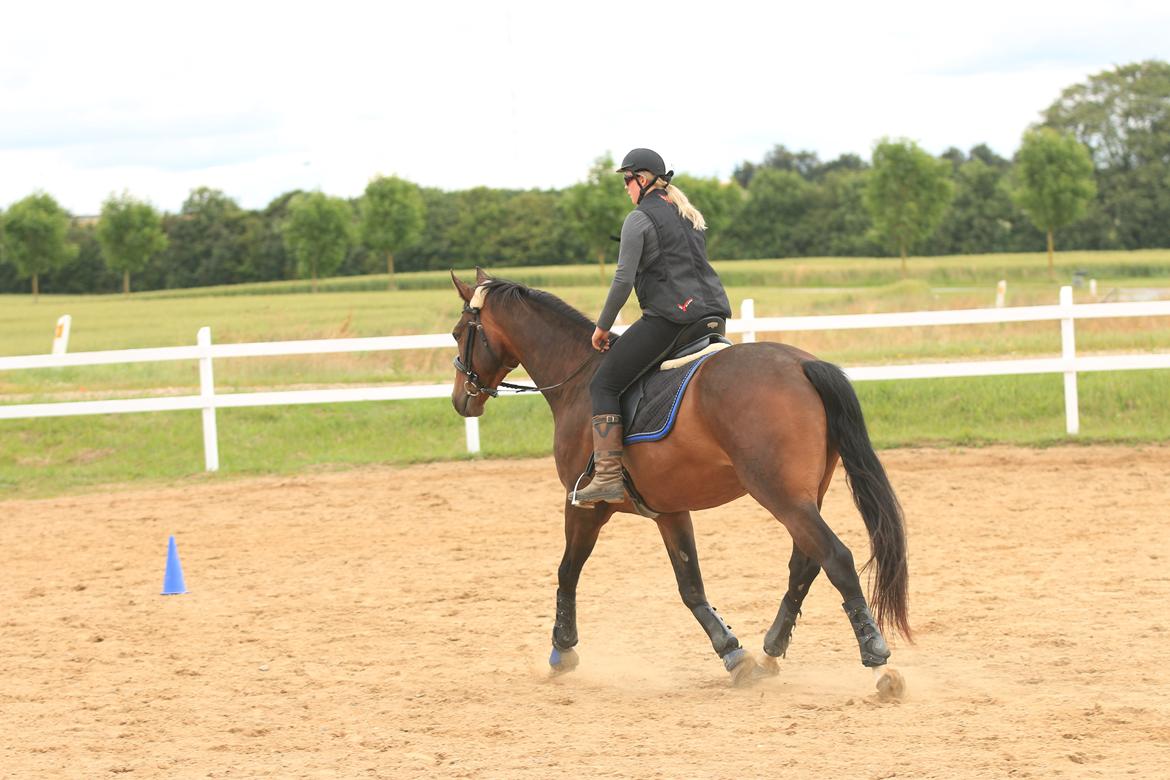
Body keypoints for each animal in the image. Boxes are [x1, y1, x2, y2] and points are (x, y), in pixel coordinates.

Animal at [442, 270, 907, 696]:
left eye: (458, 333)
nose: (461, 400)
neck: (577, 380)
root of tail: (801, 364)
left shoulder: (585, 506)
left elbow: (567, 572)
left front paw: (563, 650)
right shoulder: (669, 510)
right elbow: (691, 587)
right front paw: (733, 654)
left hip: (782, 496)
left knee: (836, 559)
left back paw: (878, 664)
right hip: (804, 497)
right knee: (805, 565)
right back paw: (770, 653)